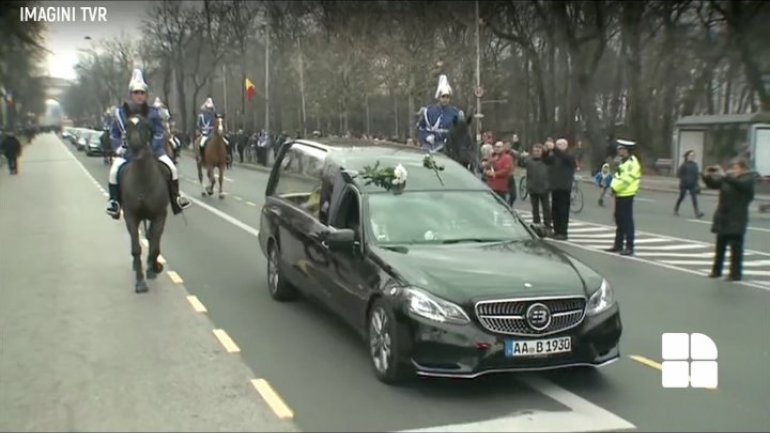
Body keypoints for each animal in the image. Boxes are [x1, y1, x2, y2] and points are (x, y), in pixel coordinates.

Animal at [118, 104, 170, 294]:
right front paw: (140, 281)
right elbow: (136, 247)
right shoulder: (131, 216)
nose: (135, 149)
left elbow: (154, 246)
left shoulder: (160, 216)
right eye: (127, 125)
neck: (143, 180)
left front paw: (154, 267)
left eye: (146, 125)